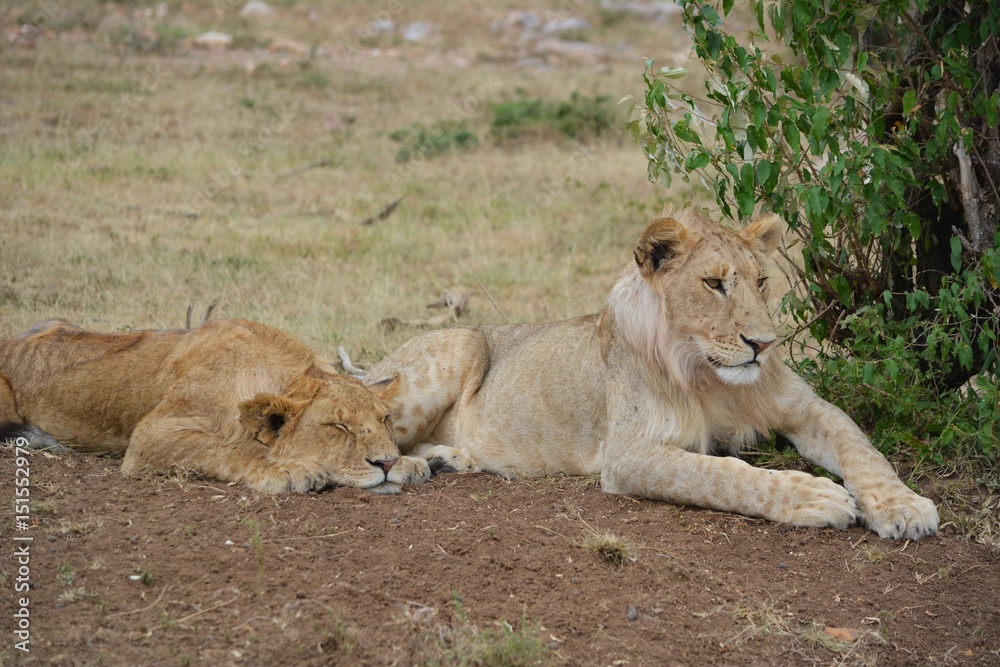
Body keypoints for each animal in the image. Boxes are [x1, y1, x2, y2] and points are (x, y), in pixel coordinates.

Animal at [0, 318, 430, 494]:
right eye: (337, 427)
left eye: (385, 420)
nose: (386, 463)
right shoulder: (151, 434)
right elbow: (224, 449)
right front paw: (287, 469)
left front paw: (409, 462)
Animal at [365, 209, 939, 540]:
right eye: (714, 283)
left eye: (761, 282)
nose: (763, 344)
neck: (712, 376)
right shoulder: (628, 454)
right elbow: (724, 476)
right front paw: (814, 497)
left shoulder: (804, 407)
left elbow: (862, 449)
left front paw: (905, 508)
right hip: (459, 344)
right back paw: (401, 468)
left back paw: (445, 460)